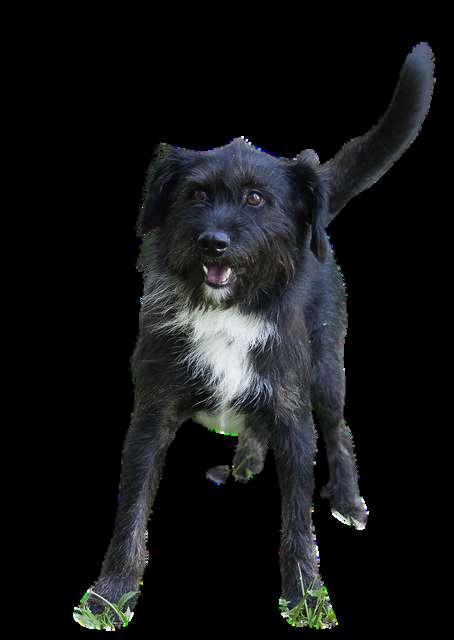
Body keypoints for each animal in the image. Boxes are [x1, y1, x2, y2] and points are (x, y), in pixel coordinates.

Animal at [77, 43, 434, 628]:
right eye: (196, 194)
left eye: (255, 199)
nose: (213, 242)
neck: (229, 311)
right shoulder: (152, 414)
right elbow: (132, 507)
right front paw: (111, 594)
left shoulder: (292, 414)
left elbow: (297, 520)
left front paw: (306, 596)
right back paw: (245, 460)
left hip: (325, 372)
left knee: (338, 429)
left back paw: (347, 499)